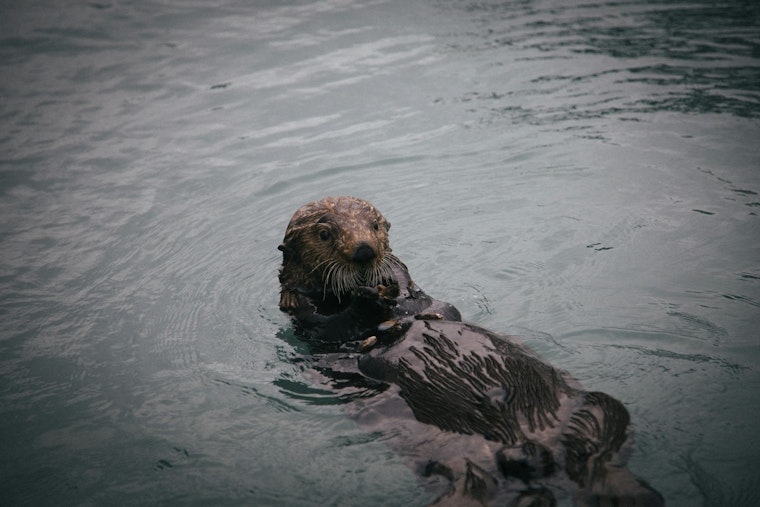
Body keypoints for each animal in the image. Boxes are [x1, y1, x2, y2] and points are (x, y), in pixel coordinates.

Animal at [278, 196, 664, 507]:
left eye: (373, 226)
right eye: (325, 234)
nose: (364, 251)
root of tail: (530, 450)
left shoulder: (417, 294)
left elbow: (417, 294)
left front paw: (388, 285)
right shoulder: (307, 319)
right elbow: (331, 326)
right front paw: (364, 301)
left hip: (594, 408)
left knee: (597, 453)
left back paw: (632, 495)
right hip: (459, 461)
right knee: (484, 487)